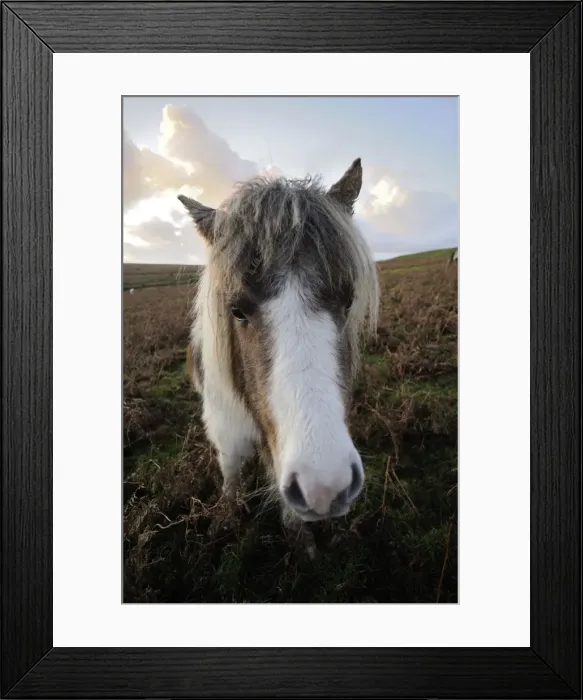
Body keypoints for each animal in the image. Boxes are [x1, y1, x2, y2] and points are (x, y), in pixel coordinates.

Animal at [178, 158, 379, 552]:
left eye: (348, 300)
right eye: (236, 310)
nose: (324, 487)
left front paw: (300, 538)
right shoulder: (226, 429)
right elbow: (231, 472)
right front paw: (225, 518)